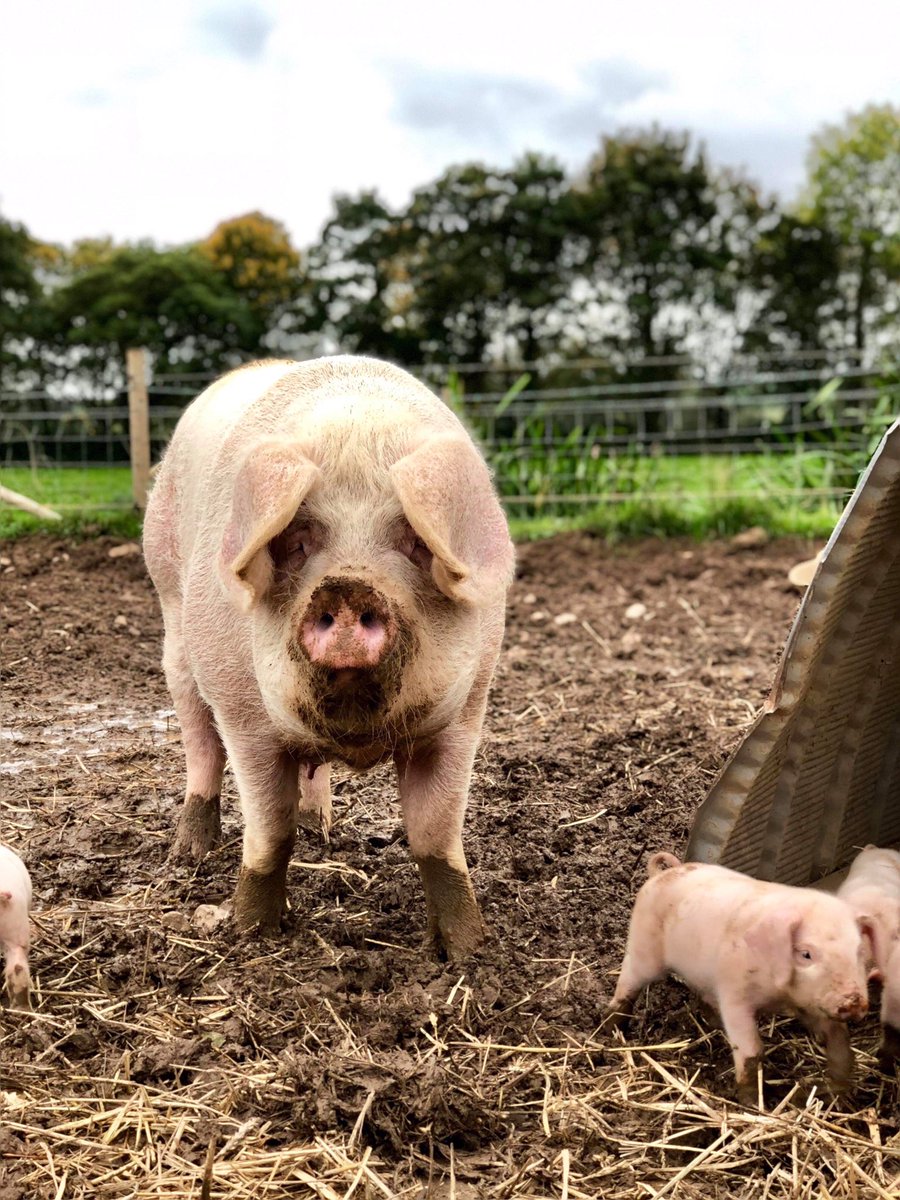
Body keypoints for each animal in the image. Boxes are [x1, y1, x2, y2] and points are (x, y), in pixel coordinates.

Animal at [142, 357, 515, 959]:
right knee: (199, 740)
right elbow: (270, 832)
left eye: (415, 541)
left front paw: (469, 951)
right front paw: (250, 934)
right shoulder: (244, 717)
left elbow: (435, 836)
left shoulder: (464, 714)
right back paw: (188, 853)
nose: (346, 586)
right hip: (172, 613)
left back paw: (320, 826)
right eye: (296, 540)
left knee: (310, 774)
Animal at [604, 853, 872, 1105]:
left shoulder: (810, 1002)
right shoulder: (735, 995)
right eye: (806, 954)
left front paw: (838, 1093)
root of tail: (662, 874)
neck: (780, 996)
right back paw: (611, 1028)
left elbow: (838, 1040)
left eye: (859, 951)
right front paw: (753, 1104)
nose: (853, 1001)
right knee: (628, 983)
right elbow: (752, 1051)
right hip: (644, 949)